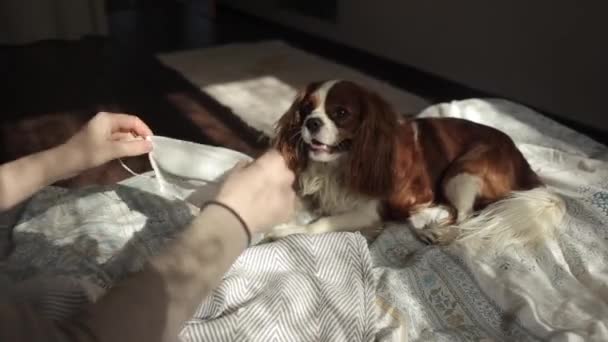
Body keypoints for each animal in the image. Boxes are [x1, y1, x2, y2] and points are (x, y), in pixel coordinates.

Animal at [268, 81, 564, 248]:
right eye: (306, 109)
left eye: (341, 113)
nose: (311, 123)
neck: (340, 164)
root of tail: (521, 159)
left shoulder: (369, 211)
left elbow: (318, 224)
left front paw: (284, 231)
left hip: (462, 173)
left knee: (466, 218)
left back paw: (439, 233)